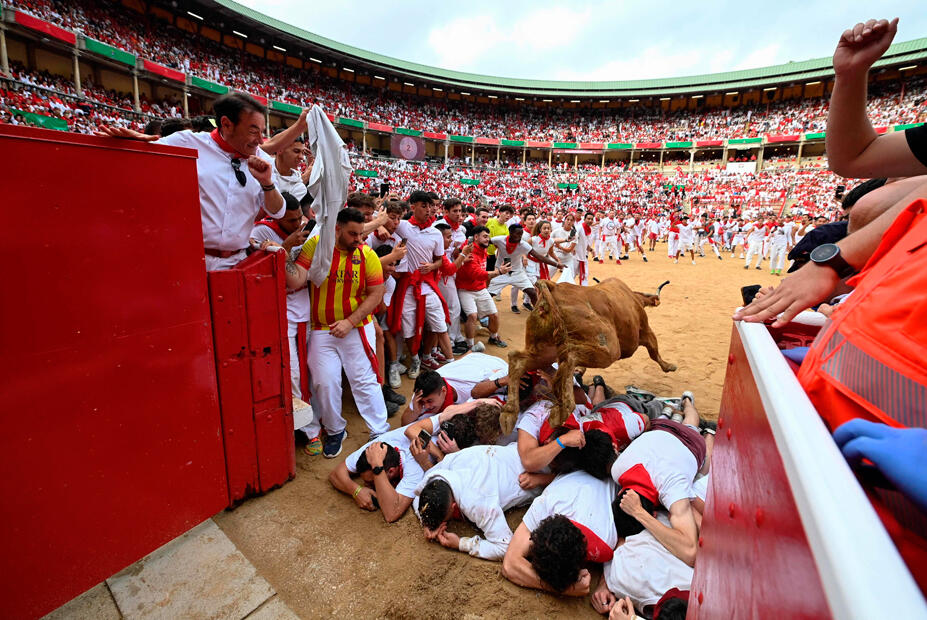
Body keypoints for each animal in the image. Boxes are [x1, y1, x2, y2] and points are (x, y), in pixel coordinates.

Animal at [504, 278, 676, 434]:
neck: (634, 298)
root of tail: (554, 287)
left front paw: (580, 371)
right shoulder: (645, 331)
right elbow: (654, 351)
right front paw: (669, 366)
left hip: (545, 350)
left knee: (518, 360)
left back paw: (509, 414)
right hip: (609, 349)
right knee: (570, 356)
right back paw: (562, 410)